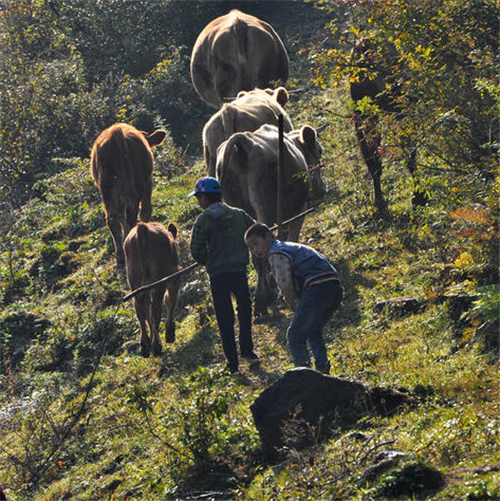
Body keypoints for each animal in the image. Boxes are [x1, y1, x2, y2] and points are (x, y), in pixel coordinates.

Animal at [90, 122, 166, 264]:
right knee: (135, 213)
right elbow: (145, 210)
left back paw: (120, 254)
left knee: (113, 217)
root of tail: (116, 130)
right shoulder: (148, 182)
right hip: (140, 183)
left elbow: (121, 217)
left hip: (106, 189)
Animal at [124, 222, 181, 356]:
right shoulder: (174, 276)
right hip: (159, 281)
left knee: (140, 309)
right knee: (155, 308)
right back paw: (156, 346)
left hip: (135, 283)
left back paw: (145, 346)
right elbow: (170, 300)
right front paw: (170, 332)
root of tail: (141, 227)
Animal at [216, 123, 326, 314]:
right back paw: (261, 299)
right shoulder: (299, 209)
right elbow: (289, 238)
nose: (322, 187)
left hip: (239, 207)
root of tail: (243, 139)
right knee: (259, 254)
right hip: (264, 205)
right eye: (319, 151)